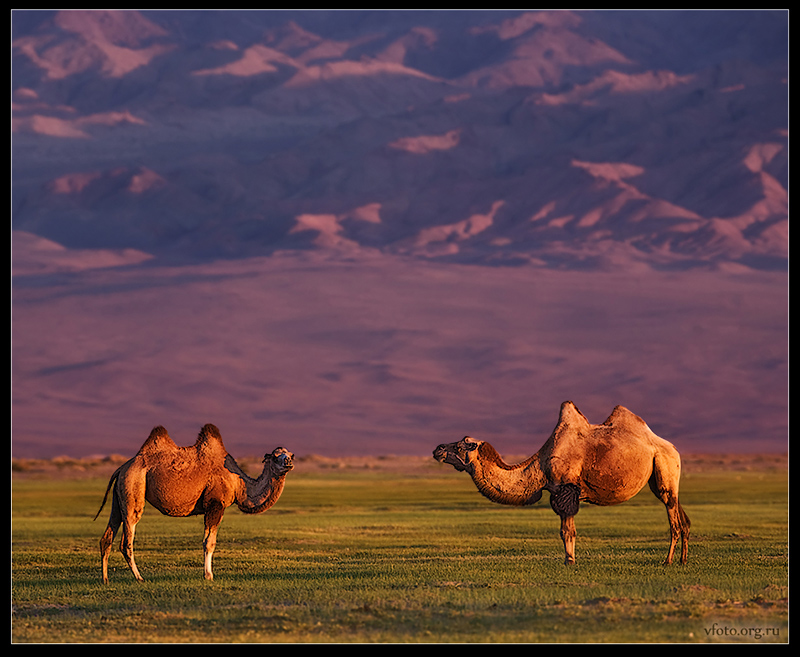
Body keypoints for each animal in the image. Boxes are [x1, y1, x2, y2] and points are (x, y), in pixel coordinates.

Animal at [94, 422, 294, 580]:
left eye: (290, 454)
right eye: (276, 456)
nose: (289, 462)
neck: (239, 483)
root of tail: (122, 467)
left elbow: (208, 541)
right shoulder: (215, 504)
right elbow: (209, 542)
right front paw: (209, 576)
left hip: (119, 495)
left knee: (107, 536)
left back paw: (105, 579)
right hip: (133, 486)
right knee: (127, 539)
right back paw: (139, 578)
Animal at [434, 400, 692, 564]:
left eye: (463, 444)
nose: (438, 449)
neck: (540, 465)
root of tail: (674, 448)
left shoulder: (566, 488)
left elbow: (567, 531)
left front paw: (569, 561)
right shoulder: (558, 490)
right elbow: (565, 530)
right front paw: (569, 559)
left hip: (665, 466)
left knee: (673, 519)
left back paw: (668, 561)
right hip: (662, 477)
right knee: (682, 516)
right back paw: (683, 560)